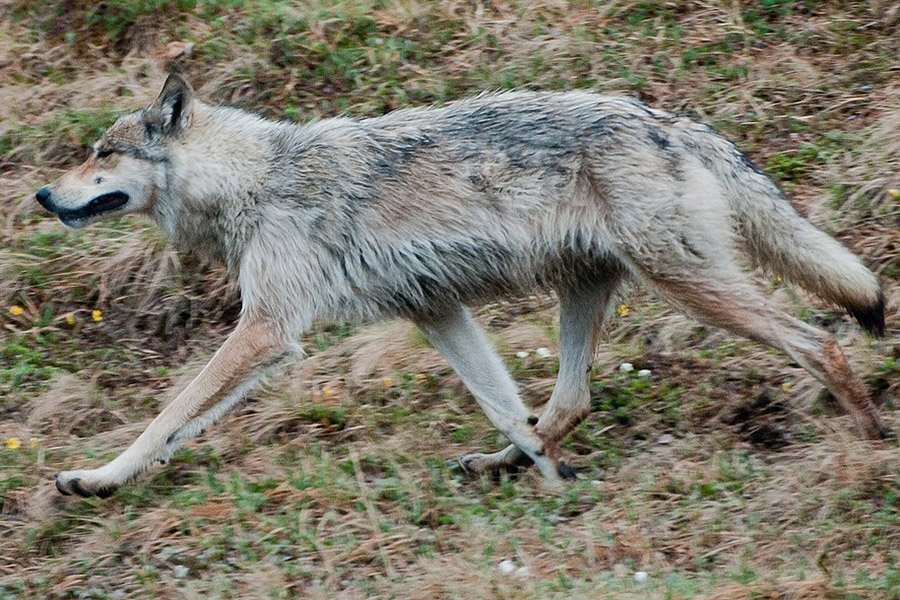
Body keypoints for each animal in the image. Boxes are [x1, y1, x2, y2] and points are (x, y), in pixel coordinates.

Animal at [36, 73, 887, 497]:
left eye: (101, 154)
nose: (43, 195)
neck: (258, 180)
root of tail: (672, 120)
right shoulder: (436, 311)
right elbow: (506, 405)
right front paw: (549, 481)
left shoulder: (267, 332)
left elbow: (167, 417)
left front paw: (97, 478)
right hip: (589, 291)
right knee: (565, 405)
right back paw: (510, 466)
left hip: (687, 283)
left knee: (817, 342)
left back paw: (875, 440)